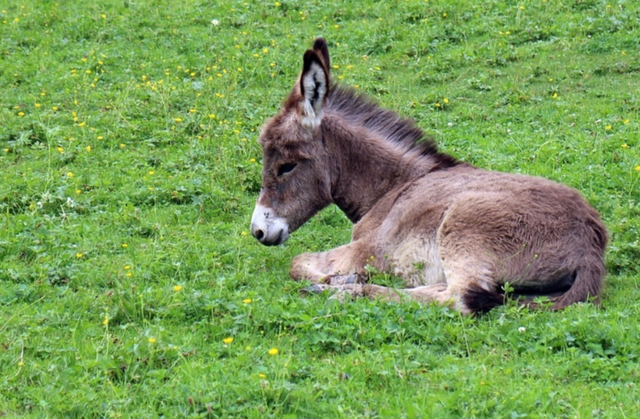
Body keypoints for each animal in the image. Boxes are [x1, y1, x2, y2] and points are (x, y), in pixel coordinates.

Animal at [249, 39, 604, 316]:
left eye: (286, 166)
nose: (258, 231)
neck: (392, 187)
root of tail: (591, 244)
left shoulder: (369, 248)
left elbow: (297, 262)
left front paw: (337, 281)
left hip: (463, 231)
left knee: (460, 299)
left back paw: (348, 291)